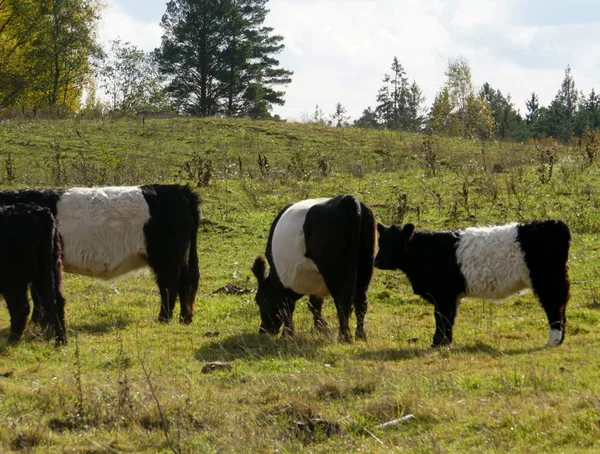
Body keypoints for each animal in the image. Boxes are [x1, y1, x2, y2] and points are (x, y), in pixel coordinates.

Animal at [0, 184, 202, 322]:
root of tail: (179, 190)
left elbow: (38, 295)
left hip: (168, 260)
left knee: (170, 286)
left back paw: (163, 319)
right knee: (185, 283)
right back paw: (184, 318)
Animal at [0, 202, 66, 344]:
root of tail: (38, 210)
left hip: (13, 278)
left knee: (21, 308)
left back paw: (11, 341)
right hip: (49, 270)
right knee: (58, 301)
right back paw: (61, 341)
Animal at [252, 194, 376, 340]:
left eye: (259, 300)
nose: (263, 330)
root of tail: (347, 199)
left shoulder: (284, 284)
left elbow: (287, 308)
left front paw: (287, 335)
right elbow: (314, 304)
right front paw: (321, 329)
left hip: (335, 271)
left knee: (342, 301)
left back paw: (344, 337)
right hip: (365, 265)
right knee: (361, 301)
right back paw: (360, 335)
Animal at [376, 220, 572, 348]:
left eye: (392, 244)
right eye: (380, 242)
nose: (375, 262)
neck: (426, 251)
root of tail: (553, 224)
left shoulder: (443, 295)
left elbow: (441, 318)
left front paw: (438, 343)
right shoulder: (449, 297)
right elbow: (447, 318)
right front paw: (444, 342)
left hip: (547, 282)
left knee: (554, 307)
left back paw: (552, 340)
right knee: (561, 307)